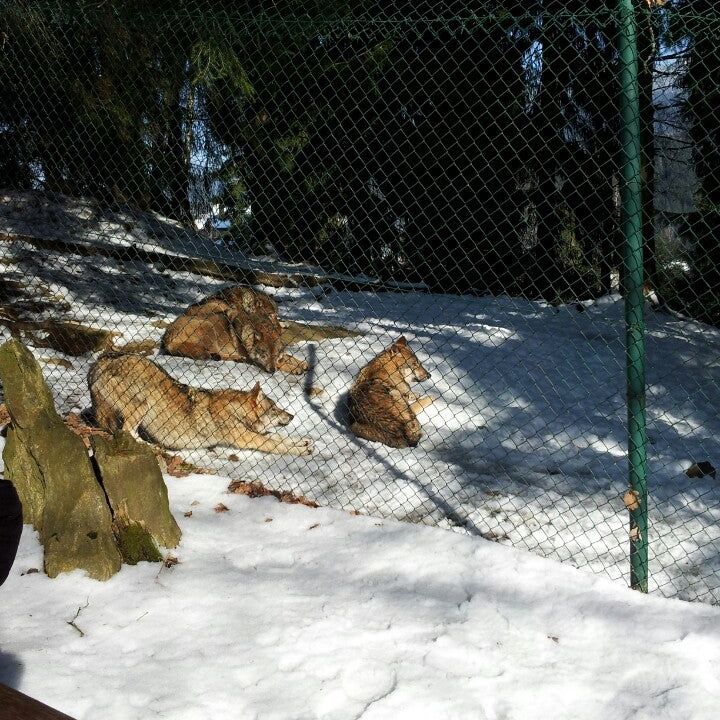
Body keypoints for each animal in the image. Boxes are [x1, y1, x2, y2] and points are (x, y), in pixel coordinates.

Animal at [88, 354, 314, 456]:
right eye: (275, 409)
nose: (292, 416)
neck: (234, 411)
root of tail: (101, 361)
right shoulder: (249, 439)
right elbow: (277, 444)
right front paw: (300, 451)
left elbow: (281, 437)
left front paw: (304, 442)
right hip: (144, 404)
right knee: (128, 432)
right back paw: (151, 447)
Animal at [162, 286, 308, 376]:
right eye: (271, 315)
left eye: (276, 315)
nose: (279, 330)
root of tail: (166, 339)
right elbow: (281, 363)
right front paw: (295, 368)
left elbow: (287, 356)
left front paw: (302, 363)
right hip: (210, 324)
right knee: (210, 353)